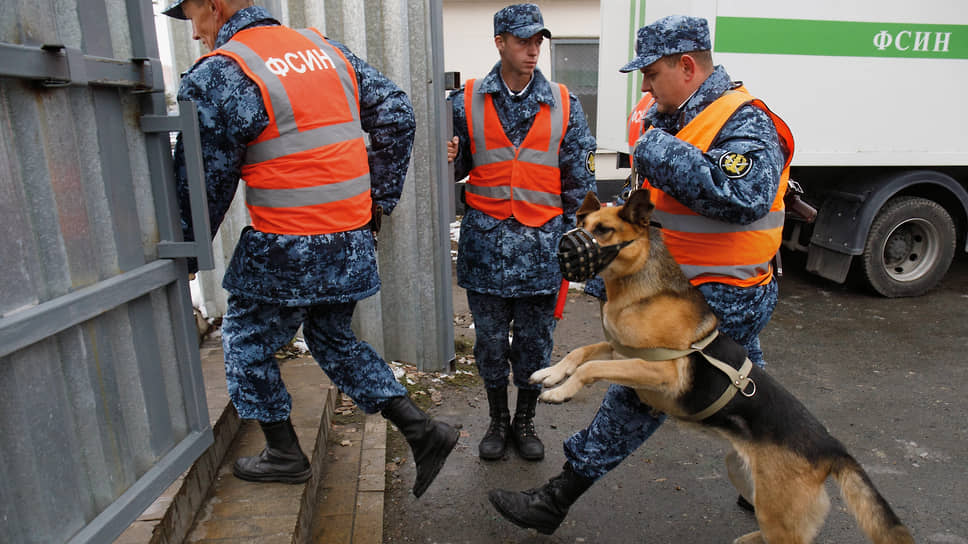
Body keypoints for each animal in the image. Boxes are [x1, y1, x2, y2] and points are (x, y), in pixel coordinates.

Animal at [532, 188, 912, 544]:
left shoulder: (660, 369)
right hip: (746, 478)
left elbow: (589, 368)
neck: (638, 285)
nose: (562, 245)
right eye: (581, 223)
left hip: (777, 511)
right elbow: (581, 352)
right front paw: (550, 373)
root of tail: (832, 448)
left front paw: (560, 391)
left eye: (604, 230)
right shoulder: (623, 350)